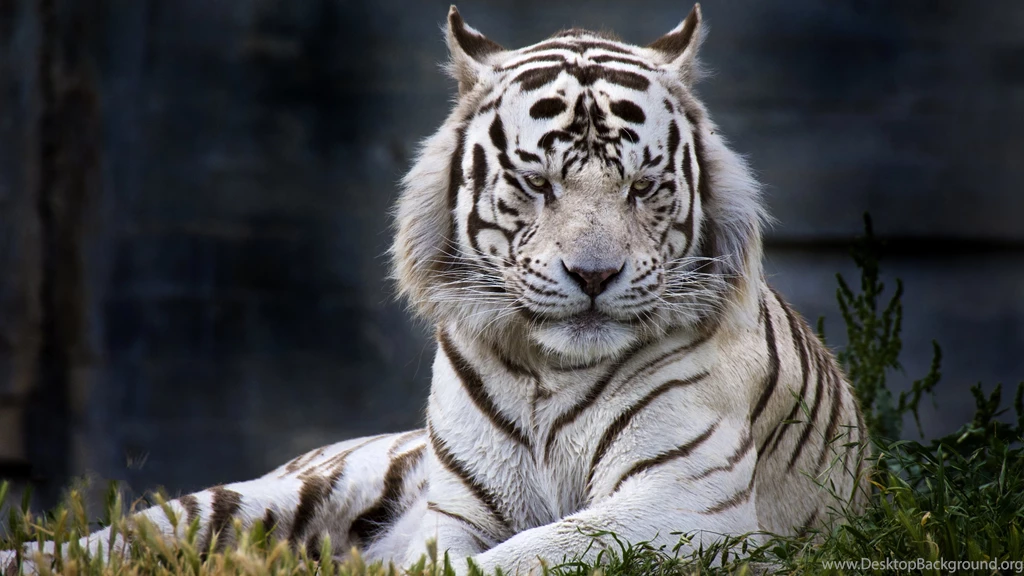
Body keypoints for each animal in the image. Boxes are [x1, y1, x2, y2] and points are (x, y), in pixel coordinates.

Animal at [1, 5, 869, 575]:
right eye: (537, 182)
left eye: (644, 187)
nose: (594, 276)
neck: (551, 373)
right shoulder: (456, 514)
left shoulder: (681, 503)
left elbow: (533, 552)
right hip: (259, 497)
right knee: (121, 536)